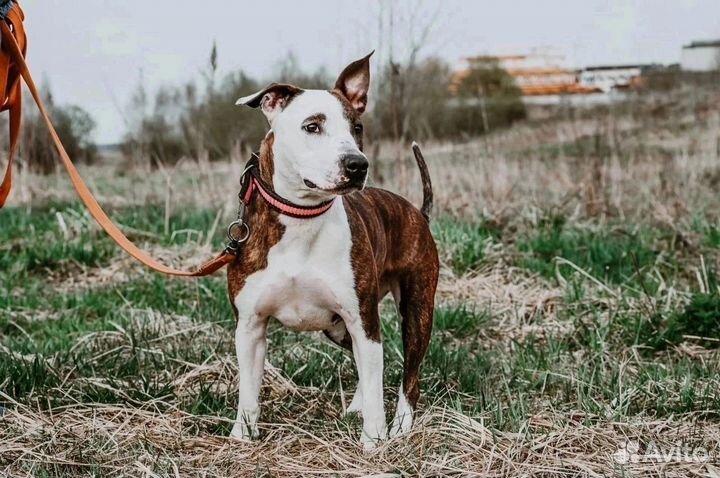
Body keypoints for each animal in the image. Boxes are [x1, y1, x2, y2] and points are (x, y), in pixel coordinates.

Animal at [228, 52, 438, 448]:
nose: (357, 164)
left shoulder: (363, 320)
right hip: (338, 328)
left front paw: (373, 442)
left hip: (417, 310)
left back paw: (401, 425)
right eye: (312, 126)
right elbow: (248, 392)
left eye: (357, 128)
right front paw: (241, 438)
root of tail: (418, 212)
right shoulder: (250, 327)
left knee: (409, 375)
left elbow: (376, 385)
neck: (301, 217)